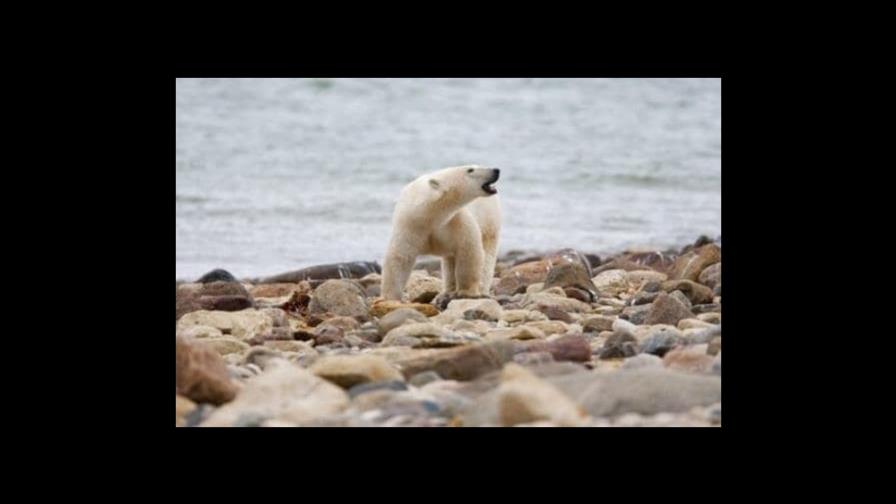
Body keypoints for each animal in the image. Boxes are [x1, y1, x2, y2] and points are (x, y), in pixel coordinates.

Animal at [380, 164, 500, 304]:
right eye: (470, 169)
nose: (496, 170)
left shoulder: (456, 221)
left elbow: (469, 250)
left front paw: (467, 292)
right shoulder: (410, 224)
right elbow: (400, 257)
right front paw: (390, 298)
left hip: (489, 221)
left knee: (487, 256)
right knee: (450, 260)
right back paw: (447, 292)